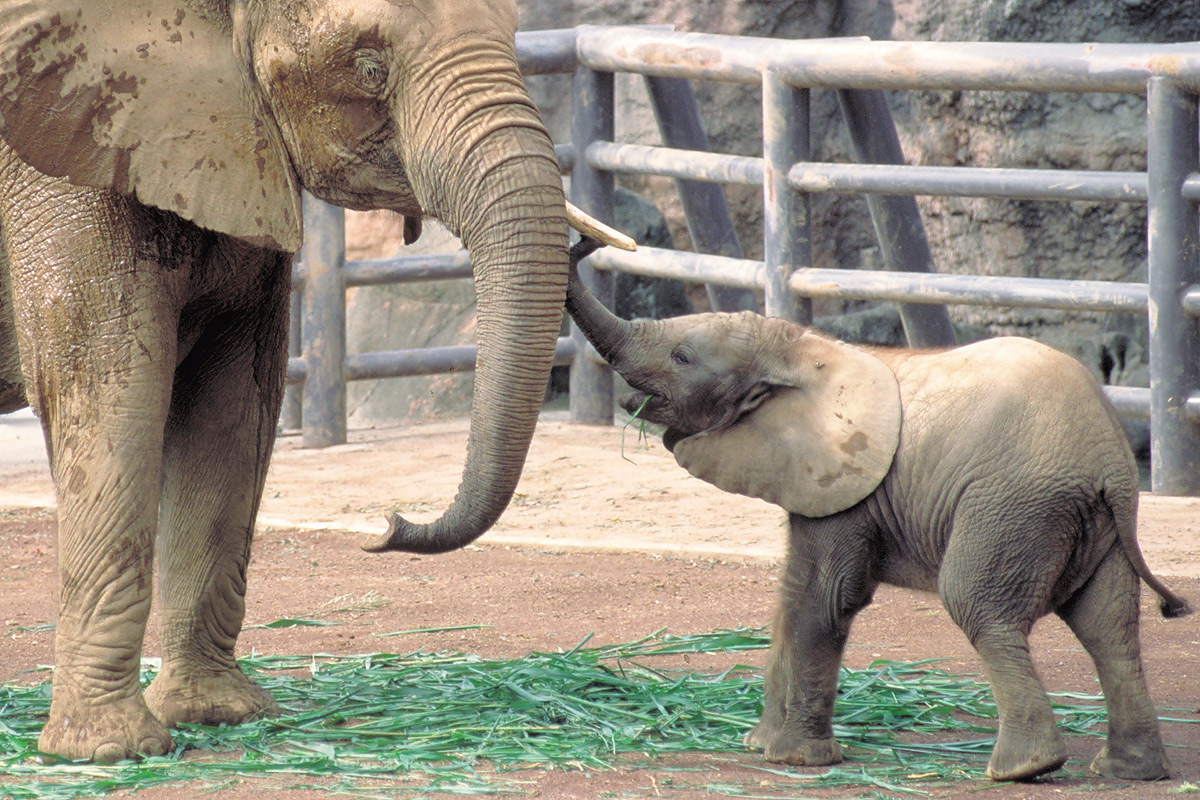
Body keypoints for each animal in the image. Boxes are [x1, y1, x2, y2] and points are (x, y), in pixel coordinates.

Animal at [0, 0, 619, 762]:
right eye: (369, 67)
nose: (387, 524)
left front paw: (219, 716)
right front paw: (110, 752)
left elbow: (230, 406)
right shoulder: (62, 163)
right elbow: (111, 391)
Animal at [568, 237, 1190, 782]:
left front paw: (795, 760)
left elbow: (826, 597)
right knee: (1108, 628)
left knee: (980, 607)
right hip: (1094, 522)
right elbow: (793, 592)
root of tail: (1110, 459)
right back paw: (1128, 771)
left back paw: (1022, 769)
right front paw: (760, 745)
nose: (586, 242)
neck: (799, 347)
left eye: (682, 356)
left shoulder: (850, 482)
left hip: (1014, 504)